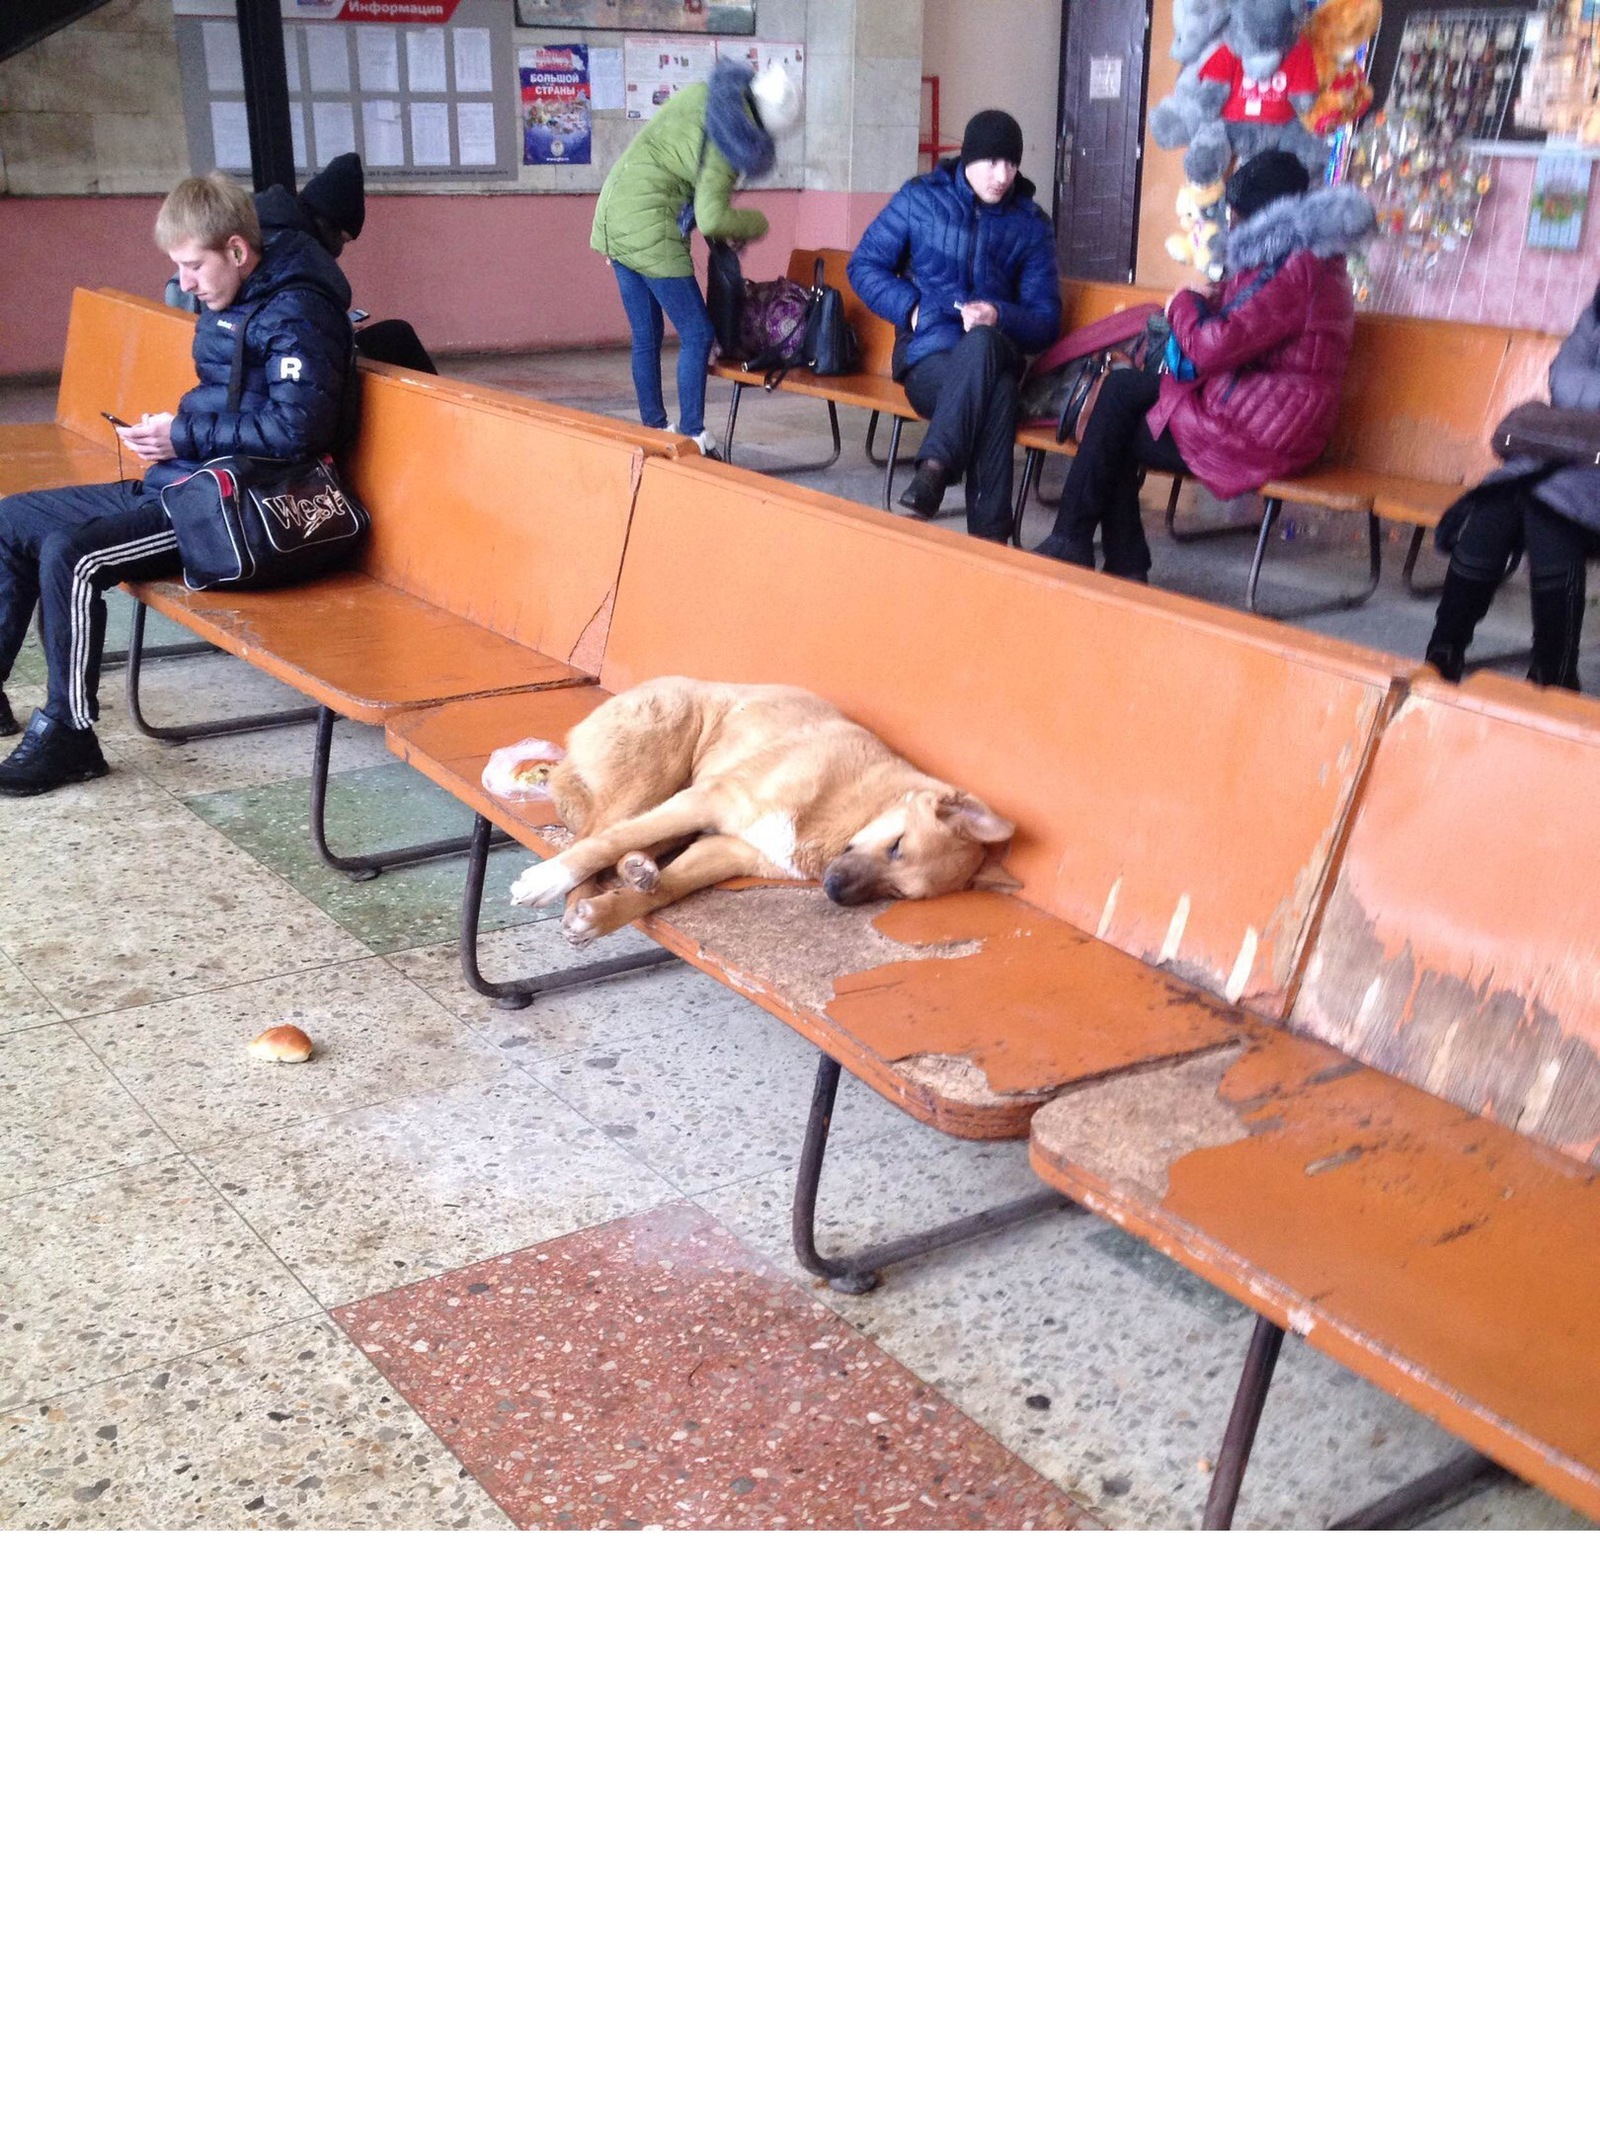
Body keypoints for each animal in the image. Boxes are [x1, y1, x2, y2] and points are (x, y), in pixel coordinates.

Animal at [499, 678, 1015, 947]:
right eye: (896, 846)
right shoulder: (709, 800)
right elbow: (604, 843)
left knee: (625, 843)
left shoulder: (729, 849)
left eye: (898, 893)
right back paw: (569, 884)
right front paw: (546, 883)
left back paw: (637, 870)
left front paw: (609, 912)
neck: (852, 803)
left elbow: (669, 889)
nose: (834, 891)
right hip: (658, 772)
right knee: (595, 834)